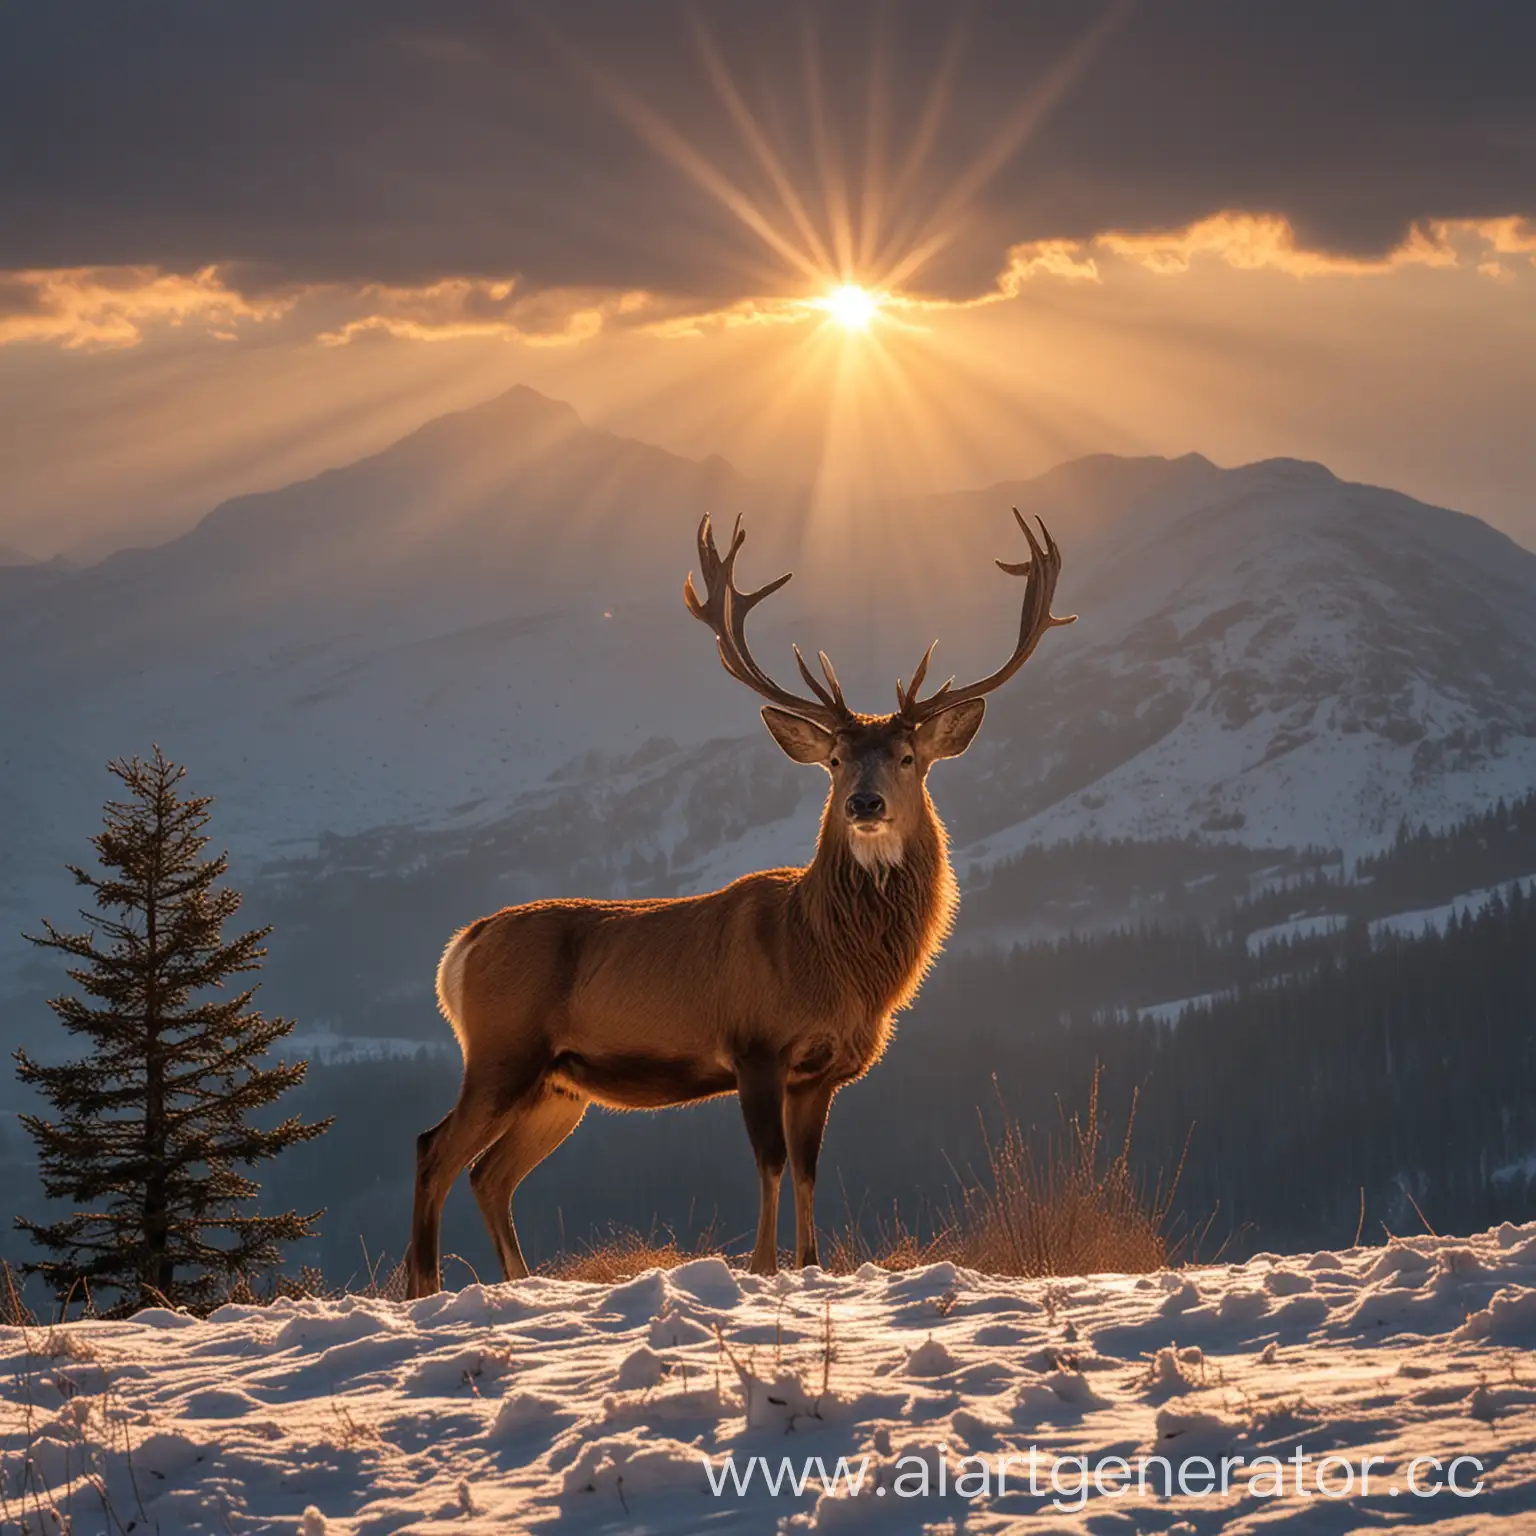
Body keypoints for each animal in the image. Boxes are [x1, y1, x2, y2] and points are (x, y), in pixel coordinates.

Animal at [402, 506, 1075, 1296]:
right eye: (836, 760)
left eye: (909, 757)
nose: (865, 803)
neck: (833, 962)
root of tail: (462, 946)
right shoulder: (754, 1043)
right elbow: (771, 1164)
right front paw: (759, 1270)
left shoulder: (823, 1071)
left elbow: (810, 1170)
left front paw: (811, 1267)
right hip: (502, 1051)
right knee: (434, 1148)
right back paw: (424, 1289)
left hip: (557, 1087)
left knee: (489, 1174)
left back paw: (514, 1283)